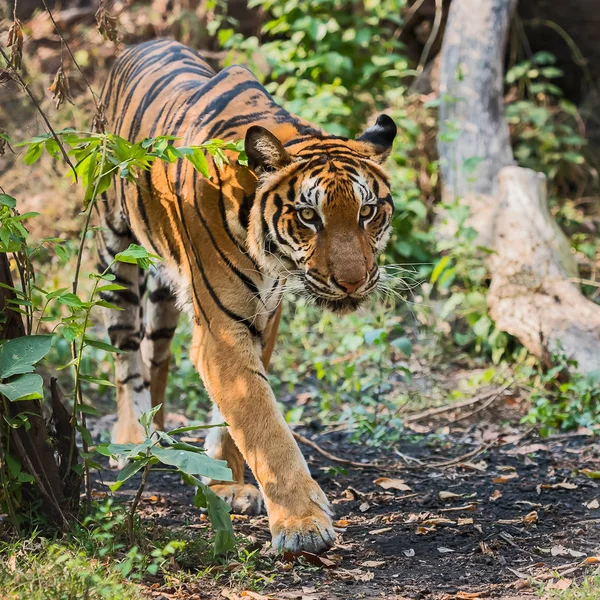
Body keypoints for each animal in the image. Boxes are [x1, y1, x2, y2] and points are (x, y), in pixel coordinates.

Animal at [97, 37, 398, 552]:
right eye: (309, 216)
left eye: (368, 212)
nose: (353, 282)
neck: (272, 260)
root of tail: (141, 43)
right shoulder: (221, 329)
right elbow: (262, 423)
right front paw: (302, 524)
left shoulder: (262, 316)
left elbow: (232, 413)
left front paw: (226, 483)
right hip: (116, 252)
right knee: (125, 351)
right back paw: (132, 437)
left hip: (166, 291)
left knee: (156, 353)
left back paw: (159, 431)